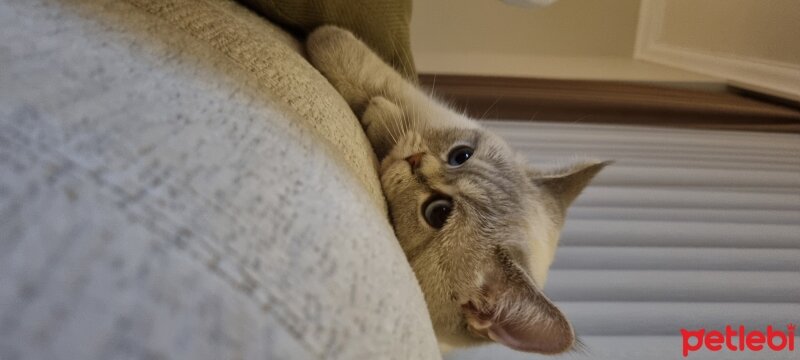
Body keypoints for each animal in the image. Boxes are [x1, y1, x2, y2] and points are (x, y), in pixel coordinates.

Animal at [306, 26, 608, 354]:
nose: (415, 160)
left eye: (438, 212)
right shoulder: (437, 113)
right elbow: (391, 92)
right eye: (460, 155)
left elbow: (369, 74)